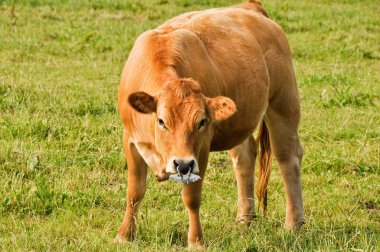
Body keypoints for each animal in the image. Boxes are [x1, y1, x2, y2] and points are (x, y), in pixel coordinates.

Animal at [116, 0, 306, 248]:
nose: (181, 164)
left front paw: (196, 241)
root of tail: (250, 7)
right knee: (245, 157)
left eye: (202, 122)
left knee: (287, 159)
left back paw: (293, 223)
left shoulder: (201, 150)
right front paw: (124, 235)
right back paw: (245, 218)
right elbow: (134, 192)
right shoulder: (130, 140)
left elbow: (192, 199)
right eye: (161, 121)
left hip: (283, 103)